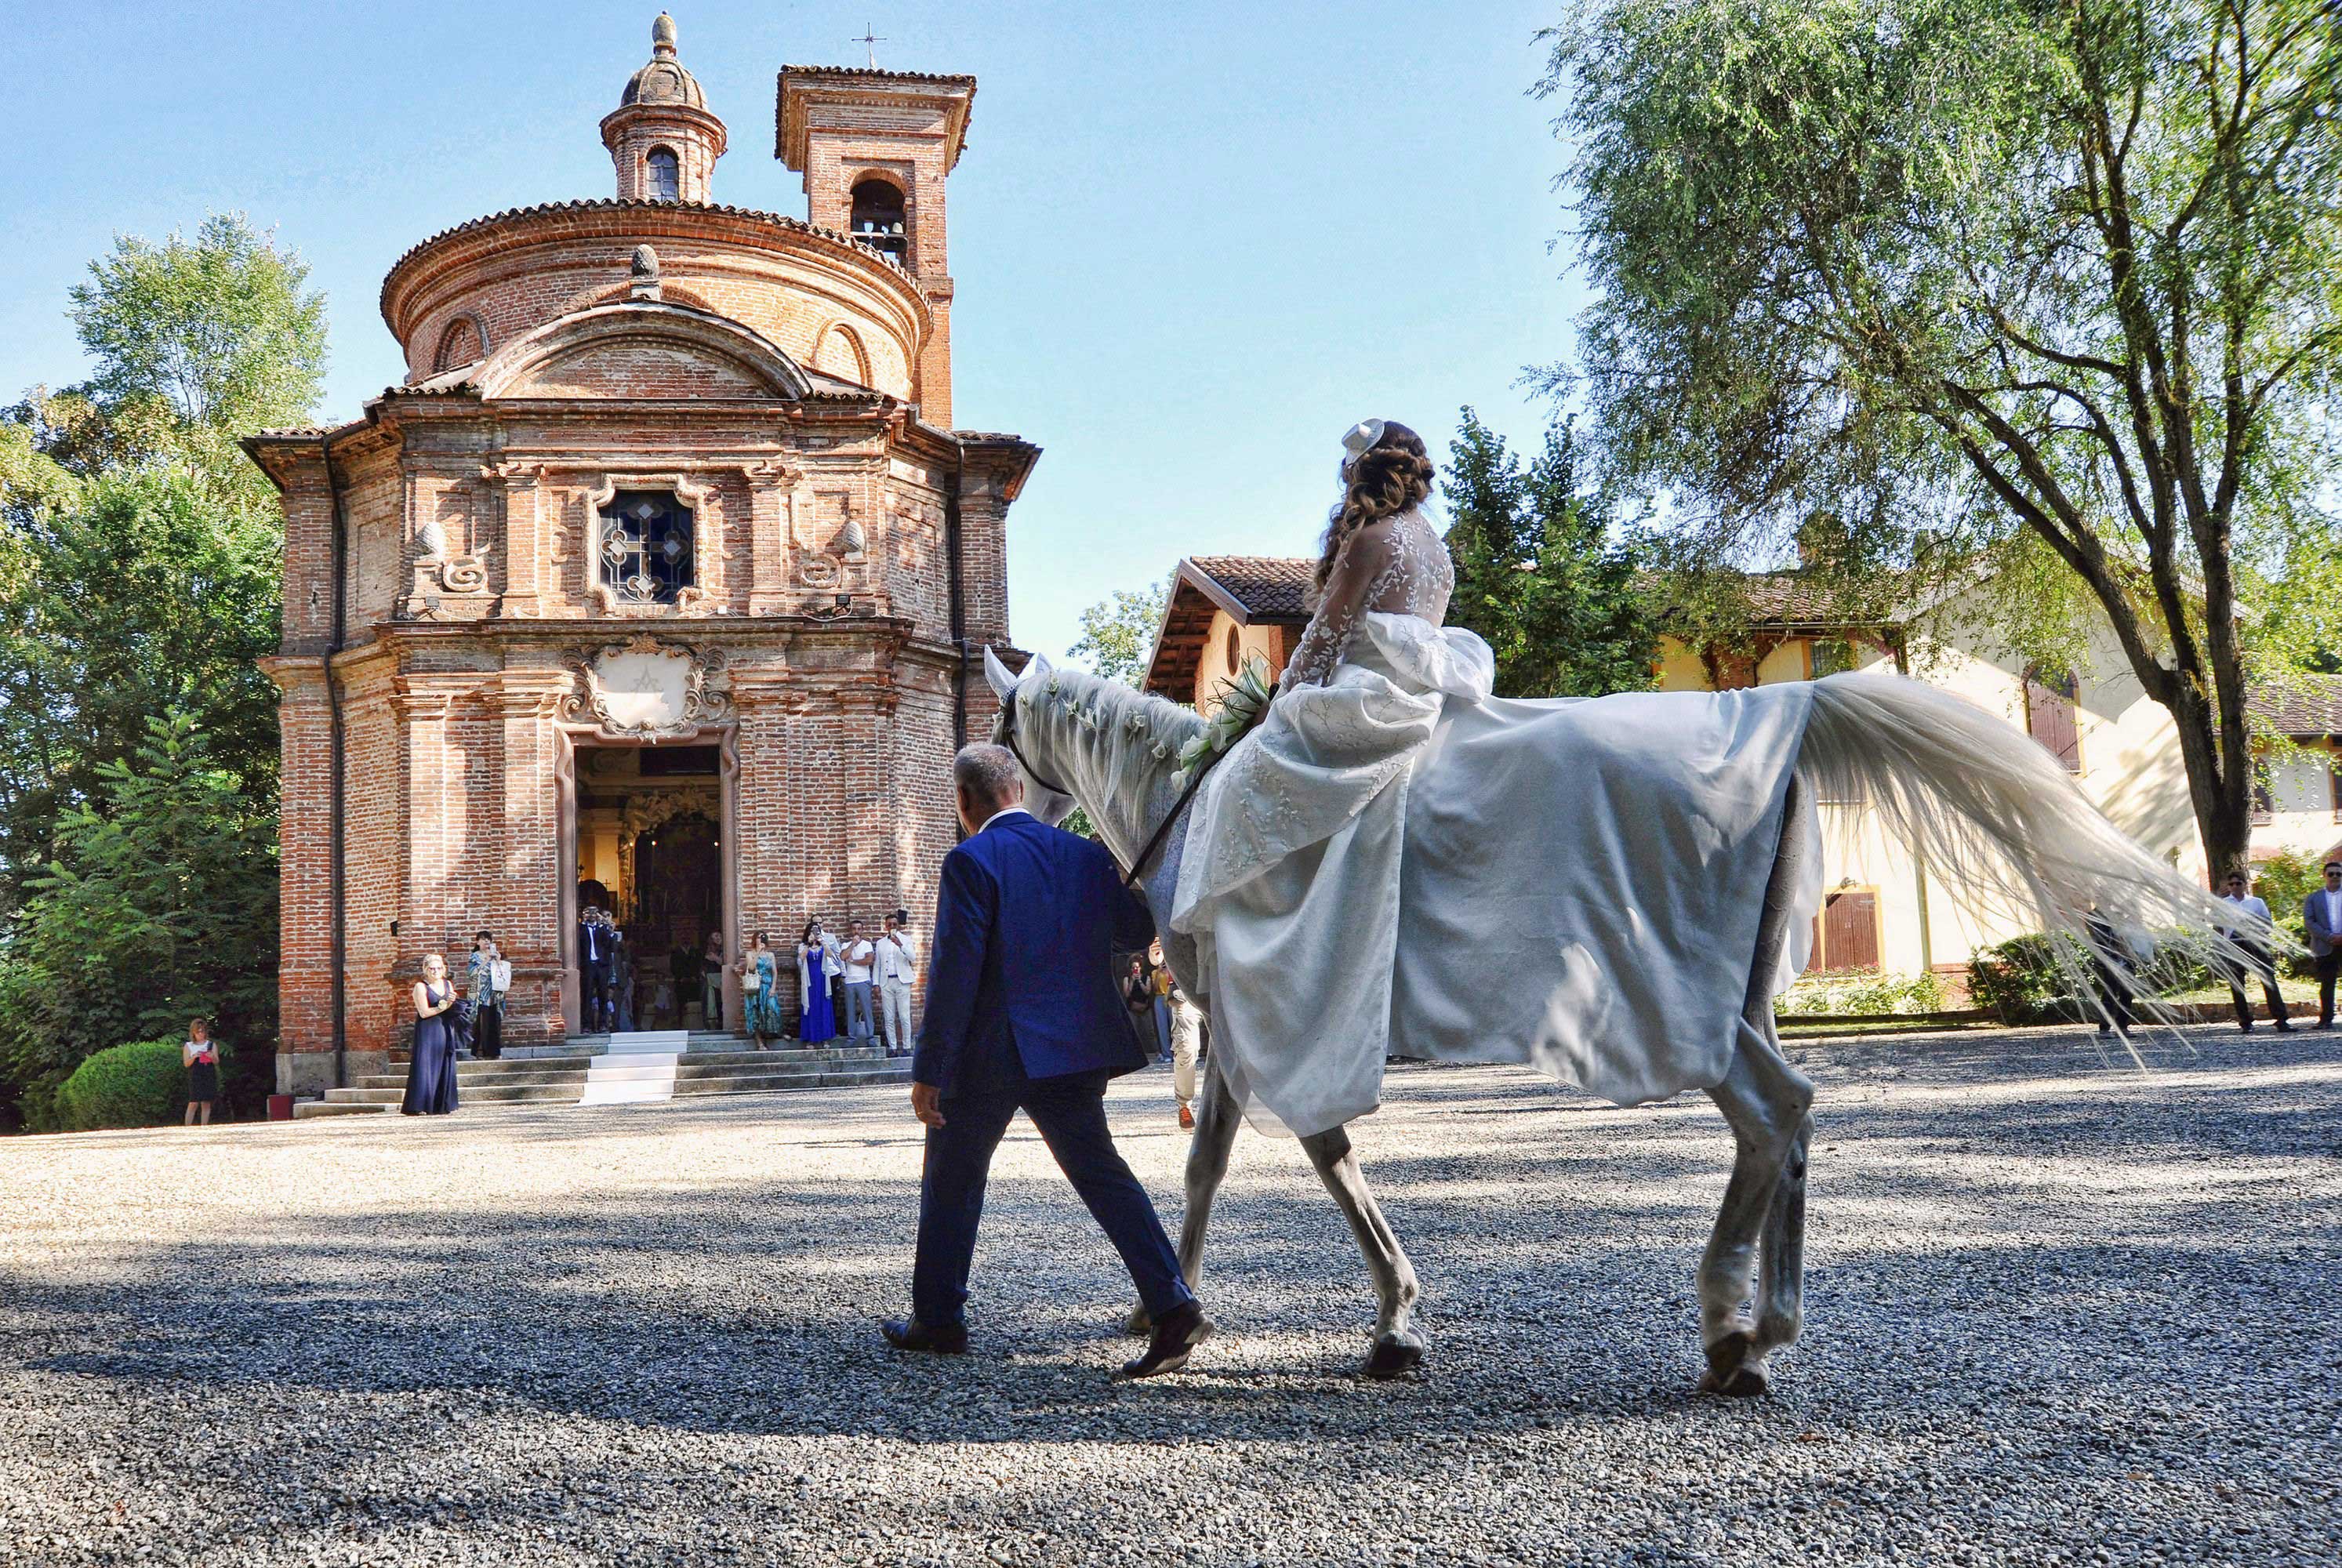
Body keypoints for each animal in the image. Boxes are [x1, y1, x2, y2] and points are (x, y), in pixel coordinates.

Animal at [979, 650, 2257, 1404]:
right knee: (1790, 1126)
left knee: (1775, 1115)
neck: (1199, 799)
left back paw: (1734, 1327)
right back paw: (1755, 1331)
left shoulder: (1259, 1027)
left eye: (1006, 716)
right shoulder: (1251, 1037)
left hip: (1690, 1009)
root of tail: (1779, 713)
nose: (999, 789)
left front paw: (1235, 1316)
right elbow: (1248, 1164)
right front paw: (1204, 1306)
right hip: (1733, 1003)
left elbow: (1272, 1163)